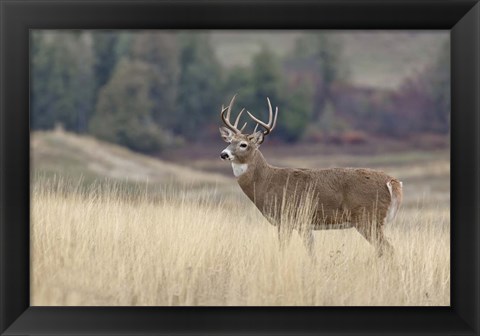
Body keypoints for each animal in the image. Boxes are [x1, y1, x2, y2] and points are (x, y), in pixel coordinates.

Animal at [219, 94, 404, 258]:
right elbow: (311, 252)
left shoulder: (286, 218)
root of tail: (392, 181)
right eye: (229, 141)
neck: (266, 182)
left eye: (243, 144)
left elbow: (283, 250)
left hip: (368, 217)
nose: (223, 154)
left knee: (388, 249)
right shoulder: (304, 224)